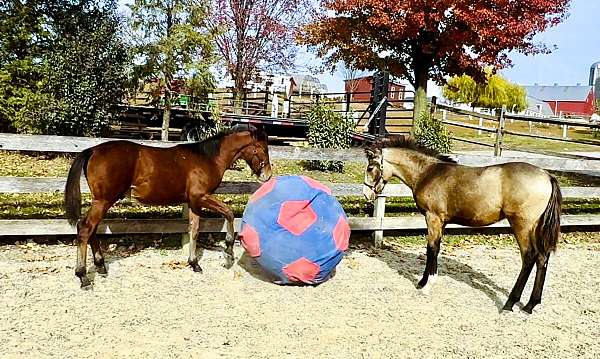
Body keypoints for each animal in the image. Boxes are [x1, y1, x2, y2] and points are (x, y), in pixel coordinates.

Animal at [65, 125, 272, 288]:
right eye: (262, 148)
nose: (267, 175)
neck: (208, 159)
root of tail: (92, 150)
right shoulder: (201, 197)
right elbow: (228, 213)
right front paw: (228, 252)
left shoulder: (194, 202)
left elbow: (194, 230)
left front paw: (194, 263)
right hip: (103, 201)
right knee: (85, 228)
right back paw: (83, 276)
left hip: (101, 201)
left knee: (91, 230)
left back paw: (100, 266)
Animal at [360, 136, 564, 314]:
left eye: (370, 167)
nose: (366, 194)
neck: (428, 173)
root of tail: (547, 175)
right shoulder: (441, 222)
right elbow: (434, 249)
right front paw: (422, 282)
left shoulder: (433, 218)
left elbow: (431, 249)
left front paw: (427, 285)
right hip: (536, 228)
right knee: (542, 258)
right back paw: (530, 305)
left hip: (522, 225)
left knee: (529, 257)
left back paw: (509, 304)